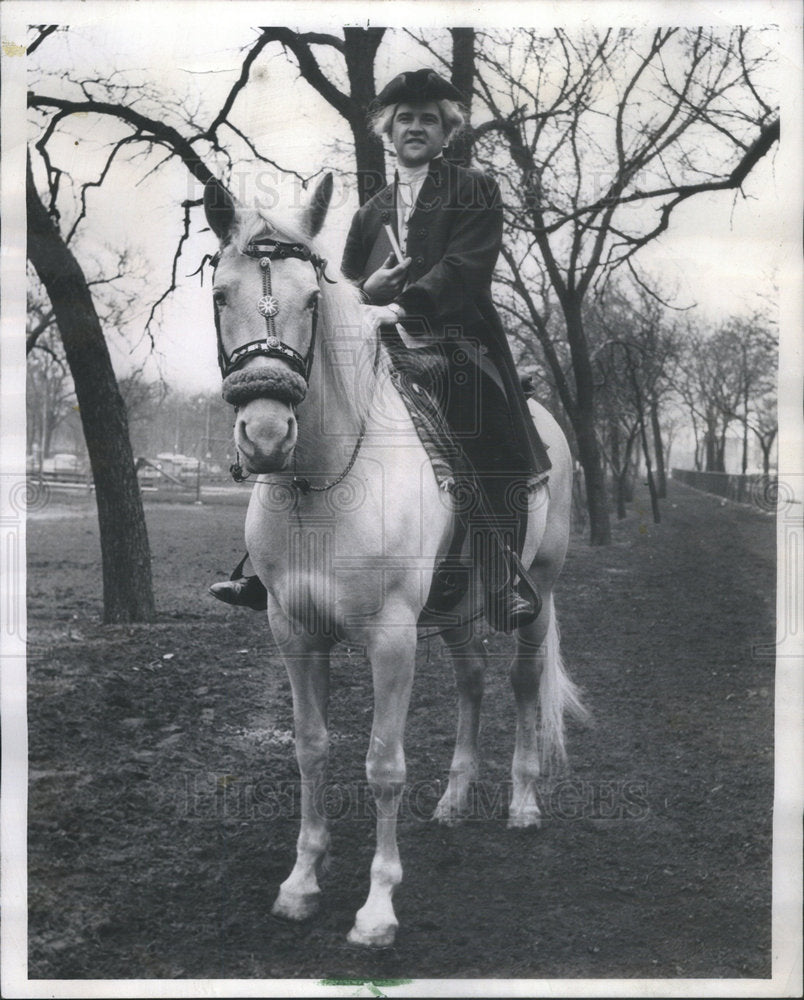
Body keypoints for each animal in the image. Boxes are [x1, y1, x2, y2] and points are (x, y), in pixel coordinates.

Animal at [204, 176, 588, 948]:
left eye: (312, 302)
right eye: (221, 295)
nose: (265, 435)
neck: (318, 483)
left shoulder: (390, 637)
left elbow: (383, 763)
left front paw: (378, 907)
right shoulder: (294, 633)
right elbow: (311, 748)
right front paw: (301, 881)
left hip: (537, 593)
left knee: (522, 680)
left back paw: (523, 802)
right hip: (455, 604)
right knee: (473, 679)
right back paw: (455, 799)